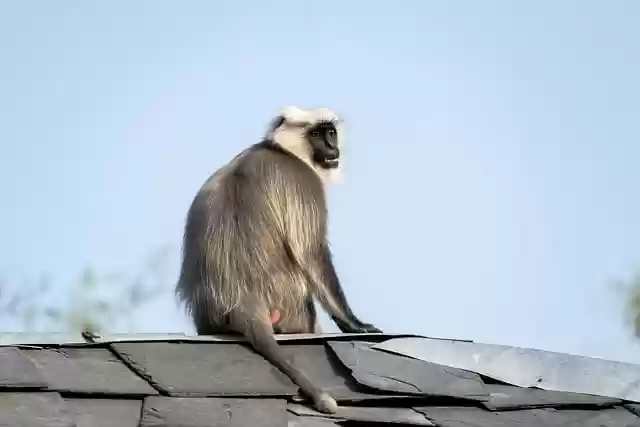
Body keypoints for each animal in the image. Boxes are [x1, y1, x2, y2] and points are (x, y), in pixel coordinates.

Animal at [175, 106, 382, 414]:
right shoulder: (303, 182)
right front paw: (354, 324)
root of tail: (243, 303)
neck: (282, 149)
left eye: (330, 132)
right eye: (317, 134)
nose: (331, 147)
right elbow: (310, 252)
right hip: (290, 307)